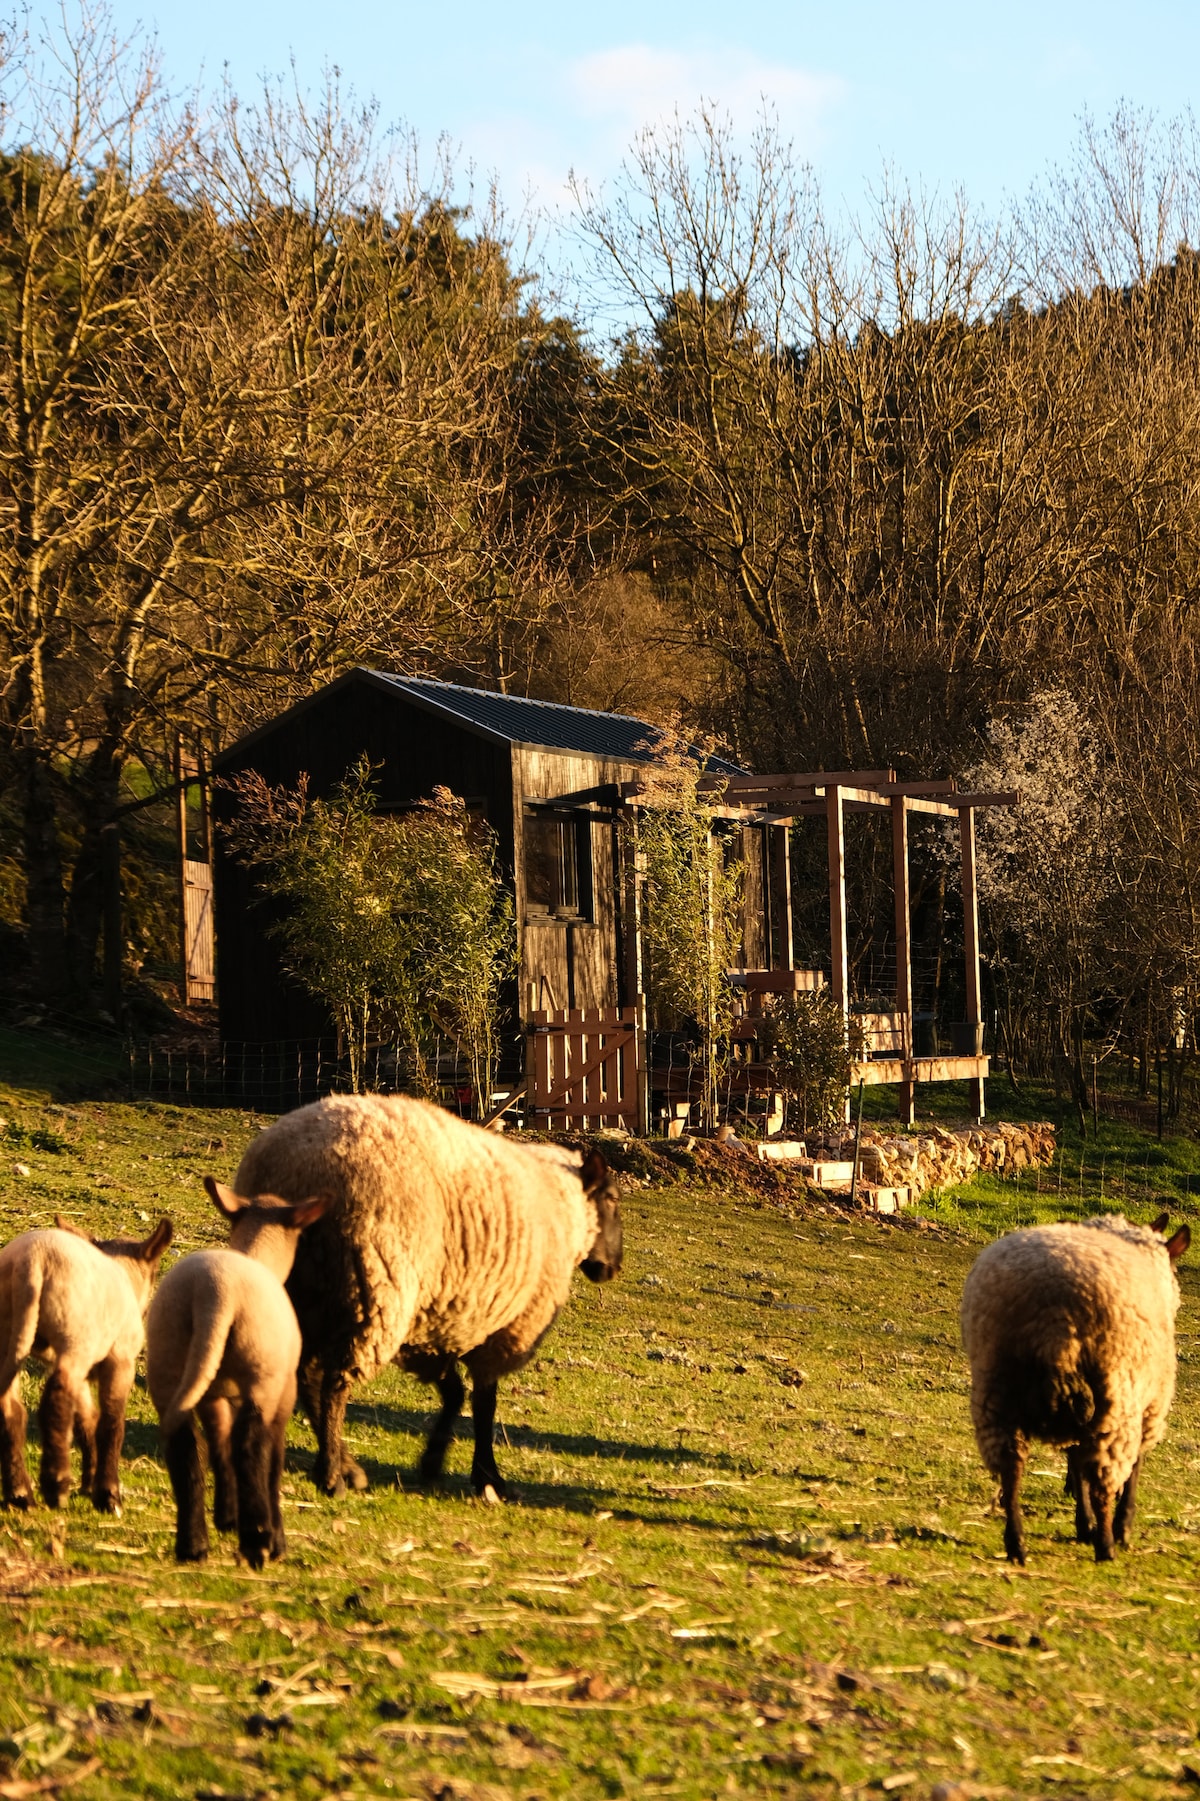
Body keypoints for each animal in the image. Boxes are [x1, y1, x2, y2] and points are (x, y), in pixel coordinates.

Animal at [0, 1217, 173, 1512]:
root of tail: (32, 1261)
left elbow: (86, 1422)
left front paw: (90, 1483)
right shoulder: (120, 1360)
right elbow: (111, 1424)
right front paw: (107, 1494)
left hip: (12, 1333)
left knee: (10, 1408)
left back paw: (20, 1494)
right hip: (74, 1334)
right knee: (56, 1395)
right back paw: (56, 1485)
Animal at [145, 1174, 331, 1570]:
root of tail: (214, 1296)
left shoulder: (214, 1395)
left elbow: (220, 1443)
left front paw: (228, 1516)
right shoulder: (282, 1392)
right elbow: (271, 1460)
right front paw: (270, 1533)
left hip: (169, 1366)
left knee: (186, 1446)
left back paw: (193, 1545)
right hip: (261, 1377)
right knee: (251, 1447)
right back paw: (260, 1543)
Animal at [234, 1087, 627, 1498]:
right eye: (612, 1199)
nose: (613, 1266)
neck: (565, 1207)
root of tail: (294, 1169)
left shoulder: (440, 1320)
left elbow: (454, 1392)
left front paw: (434, 1459)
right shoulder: (501, 1329)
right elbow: (484, 1402)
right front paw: (488, 1477)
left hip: (306, 1294)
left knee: (305, 1378)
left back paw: (346, 1467)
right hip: (370, 1290)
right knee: (332, 1386)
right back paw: (331, 1475)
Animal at [951, 1210, 1189, 1563]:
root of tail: (1054, 1326)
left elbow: (1075, 1464)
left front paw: (1082, 1521)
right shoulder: (1148, 1406)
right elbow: (1133, 1468)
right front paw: (1122, 1526)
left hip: (997, 1390)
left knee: (1011, 1469)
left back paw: (1017, 1544)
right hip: (1113, 1396)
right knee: (1103, 1477)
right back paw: (1106, 1545)